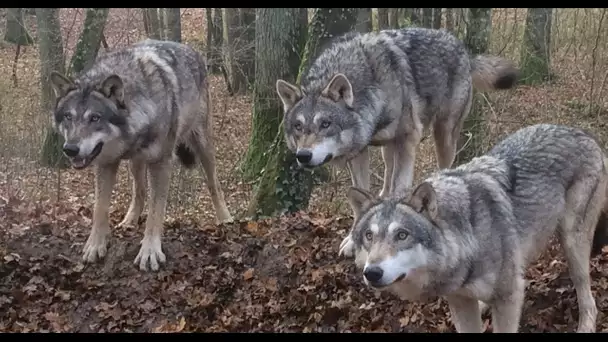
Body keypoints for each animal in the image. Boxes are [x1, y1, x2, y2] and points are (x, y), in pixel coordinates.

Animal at [49, 38, 233, 272]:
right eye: (68, 117)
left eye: (95, 118)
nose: (70, 149)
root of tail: (190, 49)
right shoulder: (106, 162)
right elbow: (100, 207)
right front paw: (95, 246)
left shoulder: (161, 162)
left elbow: (156, 211)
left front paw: (150, 252)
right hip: (136, 162)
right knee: (140, 190)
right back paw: (129, 220)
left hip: (203, 146)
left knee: (213, 184)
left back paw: (225, 219)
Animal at [342, 124, 608, 332]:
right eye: (369, 236)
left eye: (401, 235)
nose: (371, 272)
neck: (468, 237)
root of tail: (587, 135)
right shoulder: (460, 300)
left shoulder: (509, 297)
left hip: (572, 244)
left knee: (587, 295)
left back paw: (586, 325)